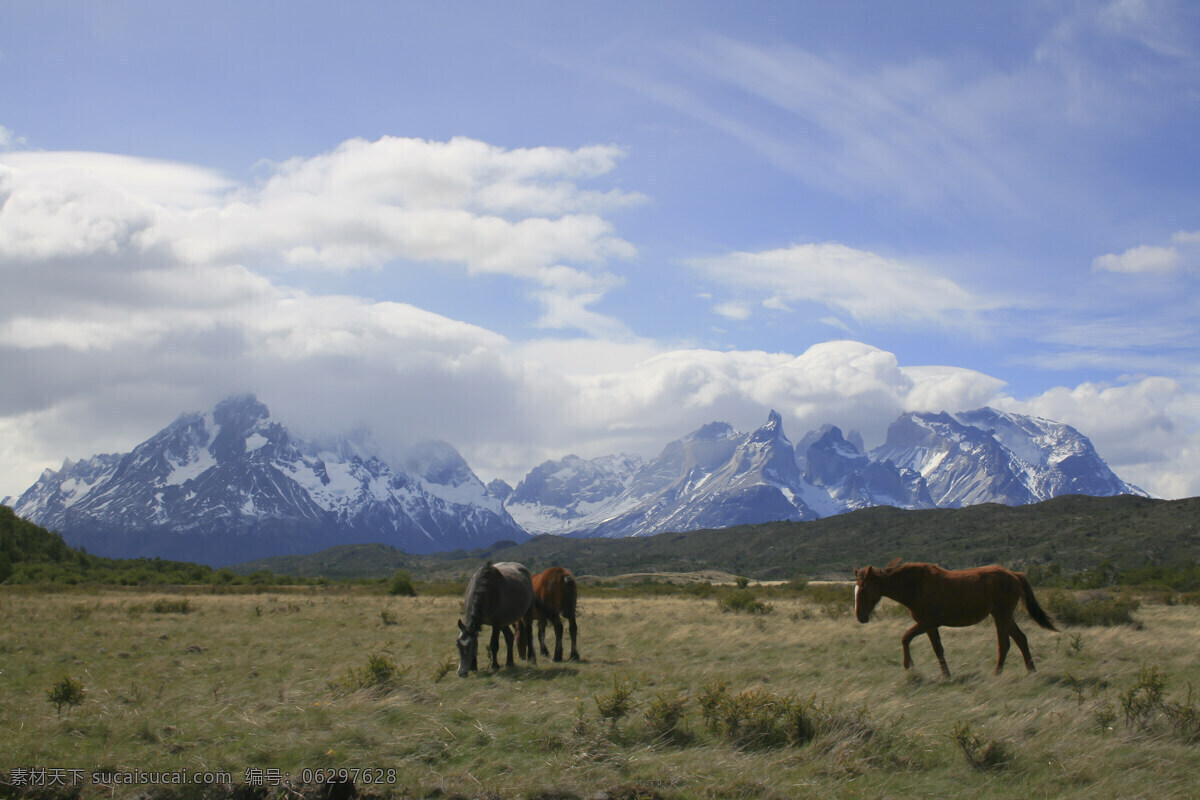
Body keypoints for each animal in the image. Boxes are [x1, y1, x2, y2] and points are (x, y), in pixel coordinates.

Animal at [854, 561, 1060, 681]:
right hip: (1004, 616)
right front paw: (946, 674)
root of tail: (1015, 575)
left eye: (863, 588)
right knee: (1021, 639)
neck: (915, 586)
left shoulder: (927, 623)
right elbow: (937, 649)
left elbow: (906, 638)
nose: (860, 617)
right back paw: (1031, 671)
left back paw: (997, 674)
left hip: (1002, 615)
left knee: (1005, 644)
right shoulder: (930, 626)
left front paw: (909, 665)